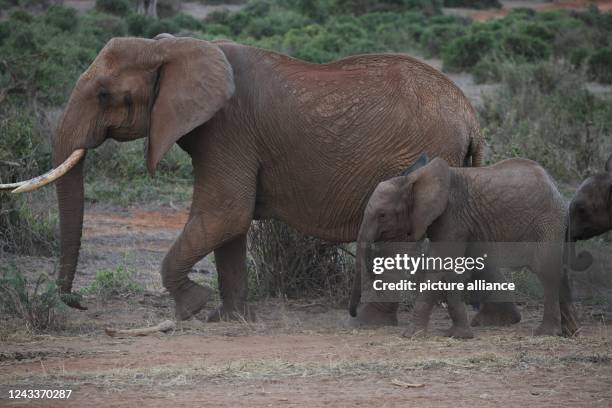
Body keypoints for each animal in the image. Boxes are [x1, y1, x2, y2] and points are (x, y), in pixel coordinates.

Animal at [2, 35, 486, 322]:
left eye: (104, 95)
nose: (75, 301)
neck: (174, 48)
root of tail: (470, 115)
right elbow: (229, 226)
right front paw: (231, 319)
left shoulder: (227, 128)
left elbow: (225, 213)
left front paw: (194, 308)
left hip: (425, 154)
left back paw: (372, 321)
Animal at [352, 156, 576, 338]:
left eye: (382, 215)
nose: (354, 314)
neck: (412, 179)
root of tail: (555, 186)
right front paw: (457, 334)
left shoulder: (452, 218)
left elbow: (442, 267)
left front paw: (413, 335)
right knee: (560, 270)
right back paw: (569, 332)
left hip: (547, 221)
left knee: (546, 271)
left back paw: (546, 333)